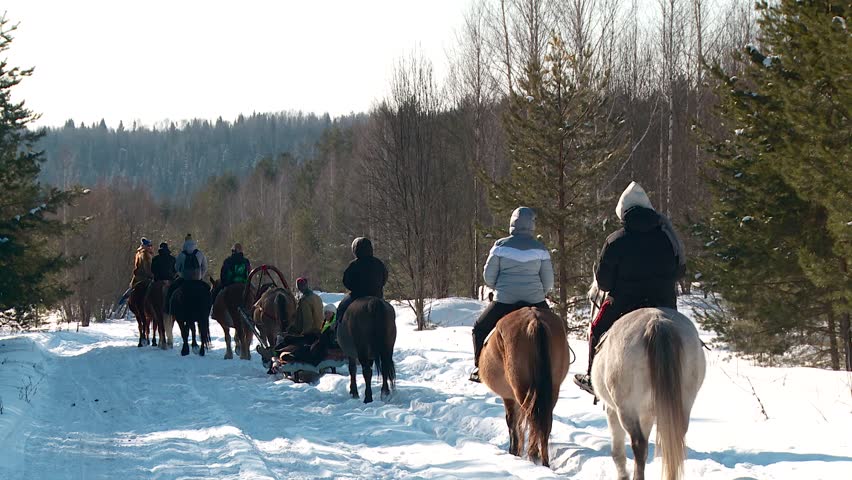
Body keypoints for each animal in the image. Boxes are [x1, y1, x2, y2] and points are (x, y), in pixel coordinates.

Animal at [478, 306, 569, 467]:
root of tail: (534, 321)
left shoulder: (508, 397)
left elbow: (512, 423)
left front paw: (514, 451)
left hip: (520, 389)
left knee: (531, 418)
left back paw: (532, 455)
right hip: (552, 390)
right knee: (544, 422)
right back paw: (543, 460)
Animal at [588, 281, 706, 480]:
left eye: (591, 297)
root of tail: (657, 322)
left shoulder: (612, 409)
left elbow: (617, 451)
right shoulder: (647, 413)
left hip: (625, 409)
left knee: (639, 445)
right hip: (682, 403)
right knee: (673, 441)